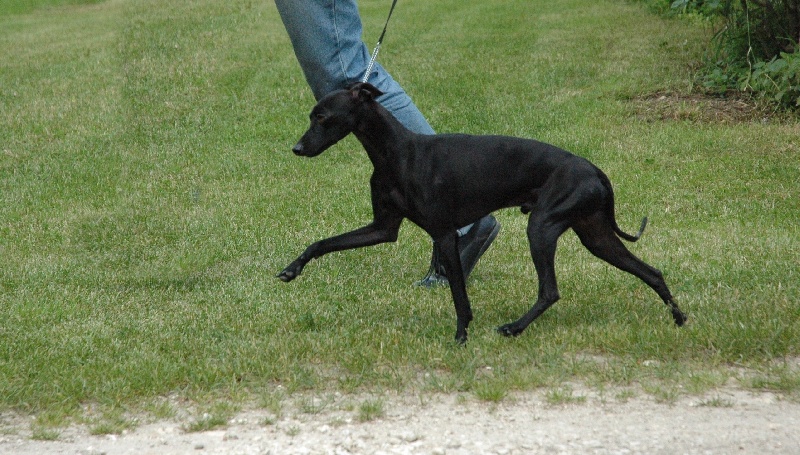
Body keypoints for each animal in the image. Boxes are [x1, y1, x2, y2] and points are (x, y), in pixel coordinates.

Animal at [277, 82, 687, 343]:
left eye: (323, 117)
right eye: (312, 115)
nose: (297, 148)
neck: (397, 152)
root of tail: (594, 170)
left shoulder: (443, 234)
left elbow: (459, 295)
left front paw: (460, 336)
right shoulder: (382, 228)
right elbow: (322, 243)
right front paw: (292, 269)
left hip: (542, 228)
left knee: (550, 290)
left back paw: (514, 328)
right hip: (596, 235)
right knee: (651, 271)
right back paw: (679, 317)